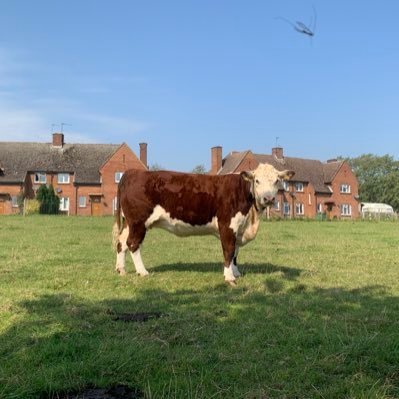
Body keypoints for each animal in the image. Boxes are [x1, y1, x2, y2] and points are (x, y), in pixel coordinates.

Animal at [112, 162, 294, 284]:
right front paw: (229, 277)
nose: (268, 198)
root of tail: (132, 172)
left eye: (277, 181)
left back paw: (121, 270)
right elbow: (229, 251)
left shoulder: (239, 228)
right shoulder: (227, 225)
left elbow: (235, 252)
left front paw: (236, 272)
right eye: (257, 181)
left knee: (121, 242)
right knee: (133, 243)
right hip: (138, 221)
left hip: (129, 222)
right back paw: (142, 272)